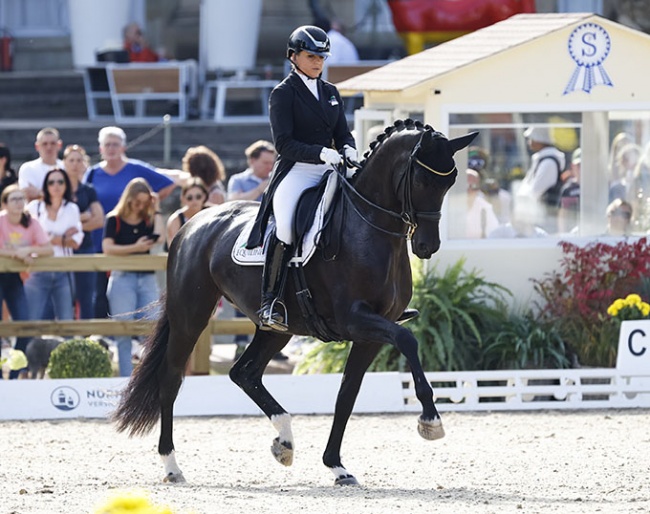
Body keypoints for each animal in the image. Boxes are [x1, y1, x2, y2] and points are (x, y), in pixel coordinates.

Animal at [112, 119, 476, 484]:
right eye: (421, 179)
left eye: (451, 181)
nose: (427, 246)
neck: (368, 229)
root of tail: (193, 224)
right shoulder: (354, 319)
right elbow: (407, 339)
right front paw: (430, 420)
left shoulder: (370, 333)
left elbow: (347, 393)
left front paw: (336, 465)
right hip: (191, 315)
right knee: (171, 379)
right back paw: (172, 466)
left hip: (277, 328)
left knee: (244, 373)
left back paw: (284, 440)